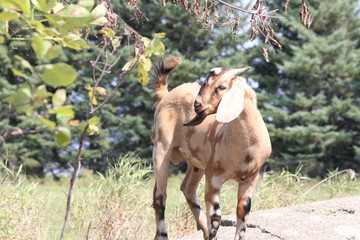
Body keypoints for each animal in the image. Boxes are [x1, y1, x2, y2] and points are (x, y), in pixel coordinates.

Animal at [150, 56, 272, 240]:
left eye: (221, 87)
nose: (197, 105)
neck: (246, 147)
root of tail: (166, 95)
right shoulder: (214, 177)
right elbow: (215, 217)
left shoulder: (251, 178)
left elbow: (243, 212)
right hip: (161, 148)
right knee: (160, 196)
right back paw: (163, 234)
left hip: (197, 164)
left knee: (187, 188)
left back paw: (204, 229)